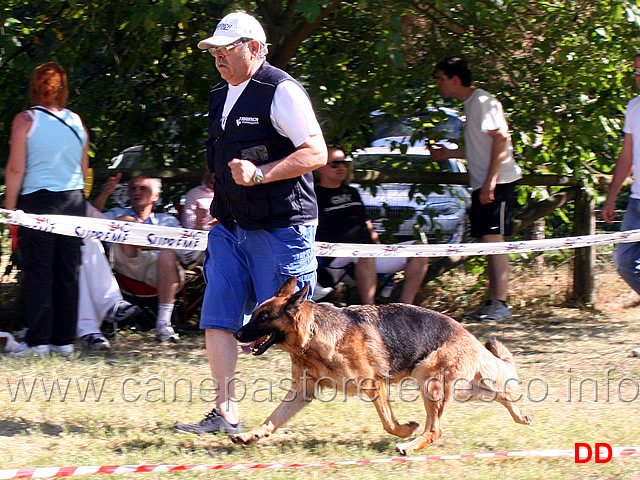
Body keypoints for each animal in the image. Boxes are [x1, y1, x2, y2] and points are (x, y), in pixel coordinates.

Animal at [230, 278, 528, 454]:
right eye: (253, 315)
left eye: (263, 318)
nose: (236, 334)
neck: (314, 335)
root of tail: (469, 336)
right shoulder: (302, 393)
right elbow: (273, 418)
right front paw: (251, 436)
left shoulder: (374, 386)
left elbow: (388, 422)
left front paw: (406, 430)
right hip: (462, 387)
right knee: (502, 394)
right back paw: (521, 416)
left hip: (430, 382)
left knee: (436, 429)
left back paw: (411, 445)